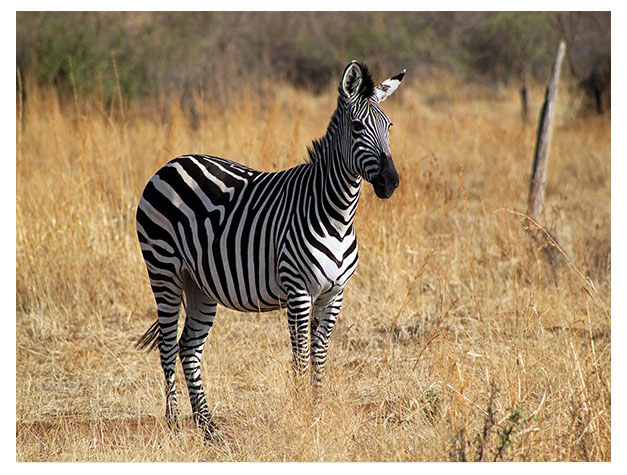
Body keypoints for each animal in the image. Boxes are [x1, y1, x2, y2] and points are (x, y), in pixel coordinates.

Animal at [135, 61, 404, 440]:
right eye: (357, 127)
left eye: (389, 126)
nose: (390, 182)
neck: (336, 213)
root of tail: (172, 163)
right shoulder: (298, 290)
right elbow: (300, 356)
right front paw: (302, 416)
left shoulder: (334, 294)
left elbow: (319, 355)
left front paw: (316, 412)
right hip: (163, 270)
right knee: (168, 343)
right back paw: (174, 424)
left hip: (199, 284)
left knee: (189, 346)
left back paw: (208, 427)